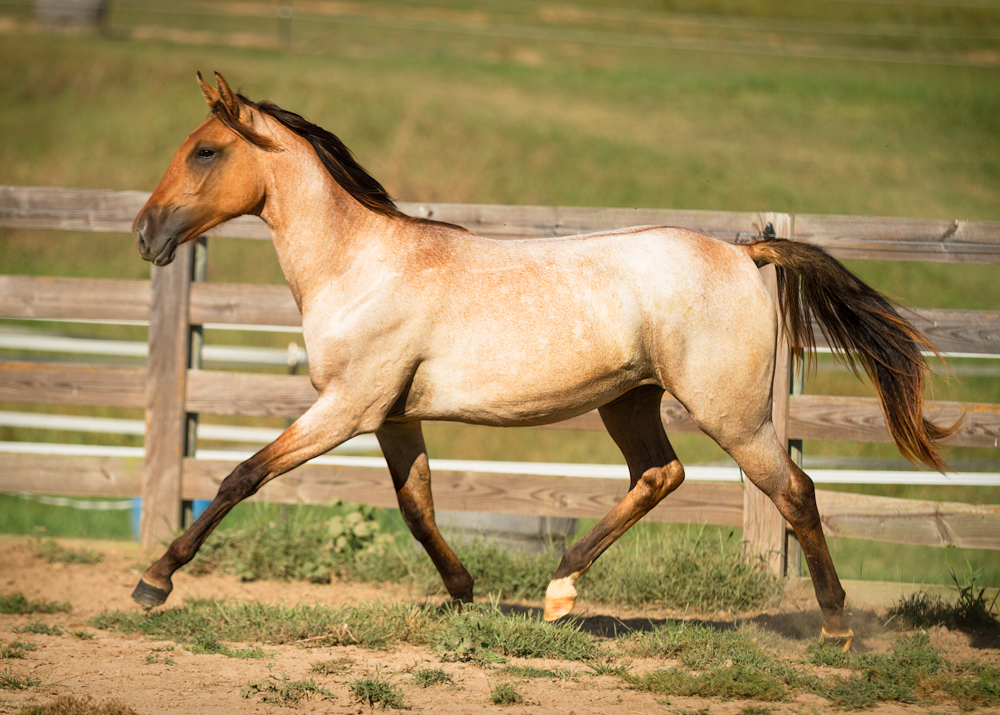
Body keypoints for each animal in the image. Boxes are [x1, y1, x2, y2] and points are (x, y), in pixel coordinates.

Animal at [131, 74, 952, 648]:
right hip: (629, 399)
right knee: (660, 475)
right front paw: (464, 591)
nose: (144, 233)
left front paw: (154, 581)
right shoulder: (392, 417)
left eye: (205, 150)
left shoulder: (345, 408)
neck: (361, 263)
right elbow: (416, 507)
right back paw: (559, 591)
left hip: (735, 415)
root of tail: (745, 253)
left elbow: (242, 476)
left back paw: (836, 628)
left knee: (795, 491)